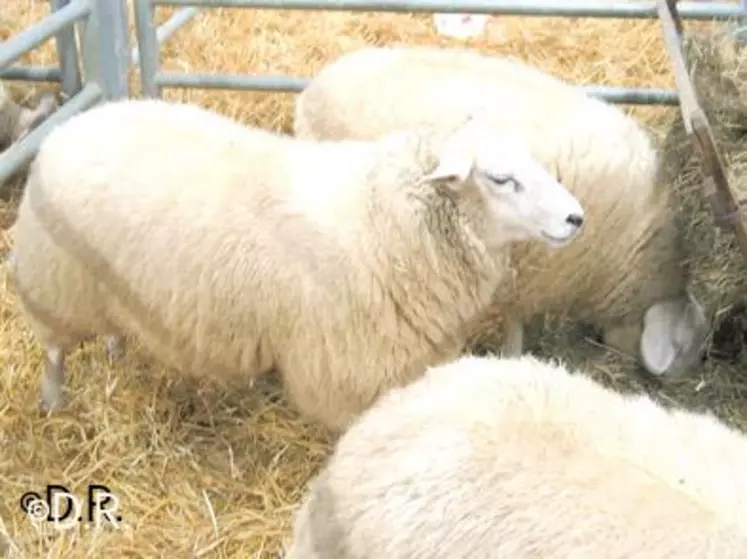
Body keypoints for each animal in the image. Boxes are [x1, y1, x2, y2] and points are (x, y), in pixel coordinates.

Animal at [8, 98, 588, 430]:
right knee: (54, 351)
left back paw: (115, 349)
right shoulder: (346, 365)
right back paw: (54, 403)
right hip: (54, 283)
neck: (385, 217)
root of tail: (75, 122)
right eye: (500, 179)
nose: (576, 217)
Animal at [296, 47, 712, 380]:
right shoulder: (529, 277)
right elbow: (514, 327)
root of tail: (311, 89)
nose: (684, 378)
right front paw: (514, 357)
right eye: (689, 349)